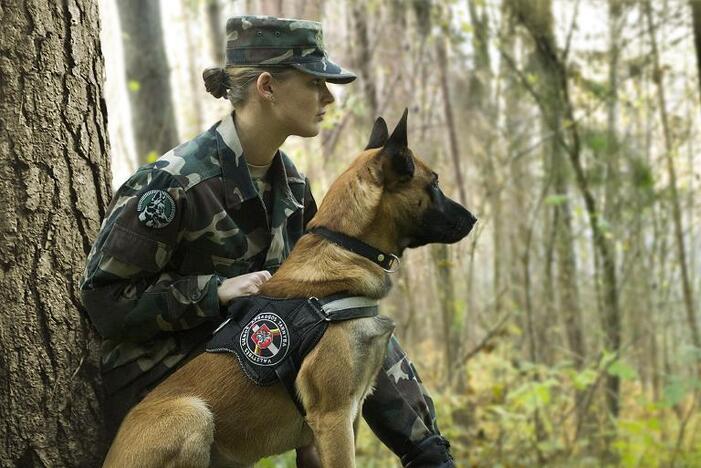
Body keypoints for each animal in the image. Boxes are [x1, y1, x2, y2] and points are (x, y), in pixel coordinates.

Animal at [104, 110, 476, 468]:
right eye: (434, 183)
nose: (473, 219)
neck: (344, 245)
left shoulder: (342, 421)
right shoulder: (333, 418)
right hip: (193, 413)